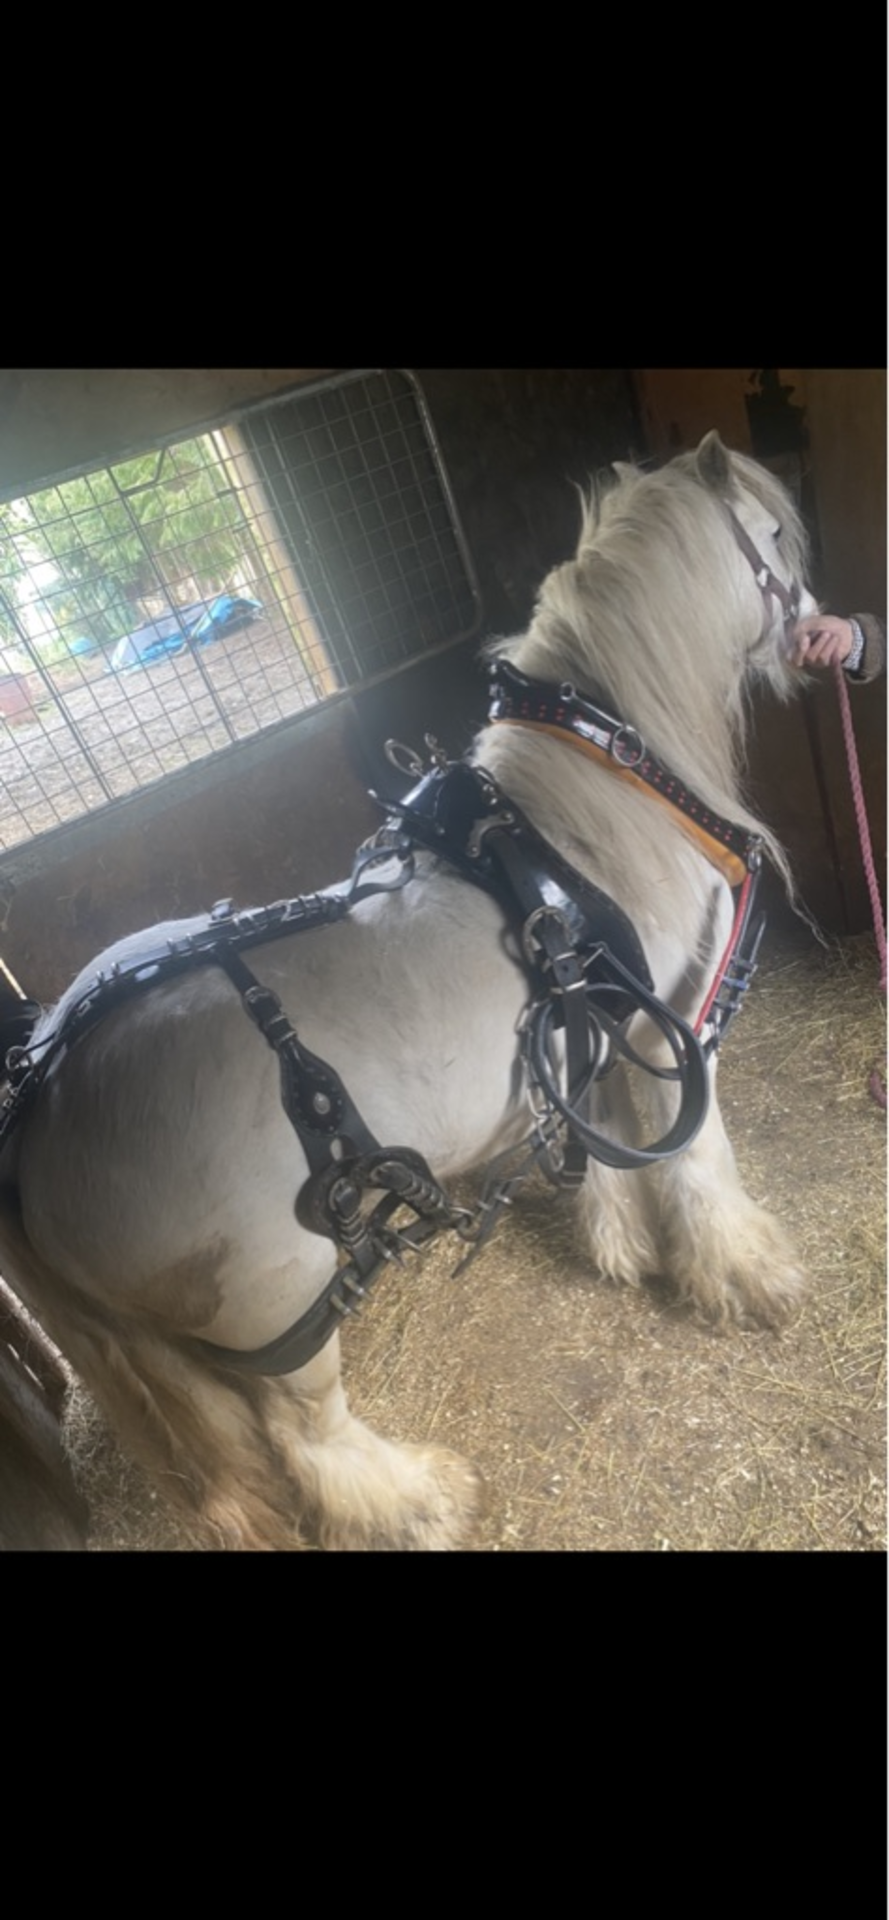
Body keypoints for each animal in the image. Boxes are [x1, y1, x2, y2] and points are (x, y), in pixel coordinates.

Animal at [0, 432, 821, 1543]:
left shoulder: (590, 1020)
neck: (589, 809)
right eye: (772, 531)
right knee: (310, 1438)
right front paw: (743, 1274)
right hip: (285, 1307)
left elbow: (601, 1131)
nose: (817, 622)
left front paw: (619, 1245)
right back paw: (423, 1498)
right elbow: (695, 1155)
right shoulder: (680, 1019)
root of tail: (38, 1117)